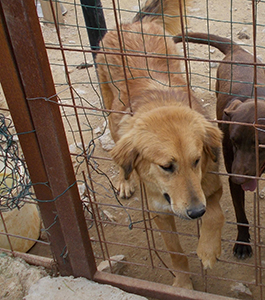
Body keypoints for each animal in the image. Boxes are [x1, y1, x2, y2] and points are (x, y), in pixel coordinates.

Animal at [96, 0, 224, 290]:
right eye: (166, 166)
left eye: (196, 160)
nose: (195, 212)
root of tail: (133, 24)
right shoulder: (160, 212)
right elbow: (176, 253)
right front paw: (184, 285)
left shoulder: (213, 187)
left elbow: (215, 214)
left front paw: (208, 250)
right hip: (111, 111)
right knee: (120, 154)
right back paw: (124, 180)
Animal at [172, 32, 264, 258]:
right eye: (234, 142)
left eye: (259, 145)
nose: (239, 179)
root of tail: (236, 49)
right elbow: (240, 214)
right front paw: (243, 243)